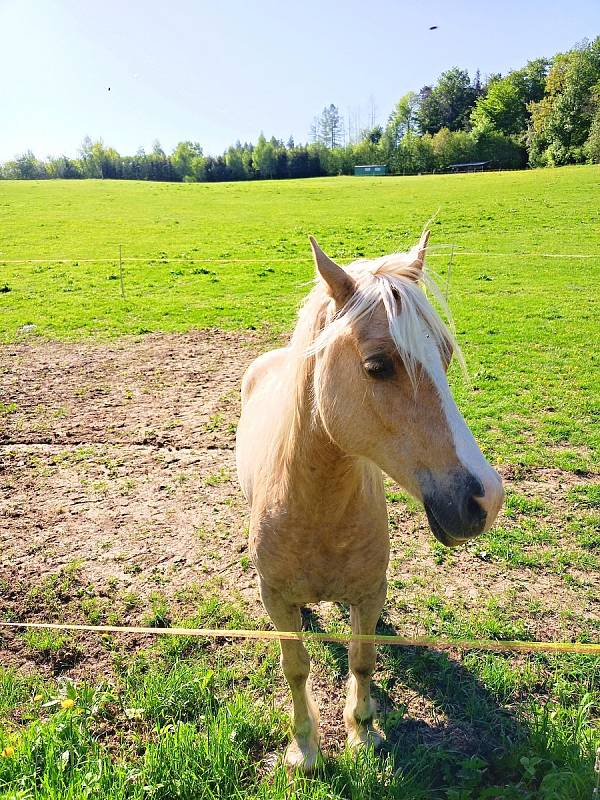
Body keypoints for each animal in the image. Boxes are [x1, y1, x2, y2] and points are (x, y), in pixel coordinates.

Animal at [237, 231, 504, 768]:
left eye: (446, 356)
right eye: (377, 366)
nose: (487, 499)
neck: (316, 511)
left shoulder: (368, 593)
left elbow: (362, 659)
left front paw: (362, 733)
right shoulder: (275, 597)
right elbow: (296, 667)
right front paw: (305, 747)